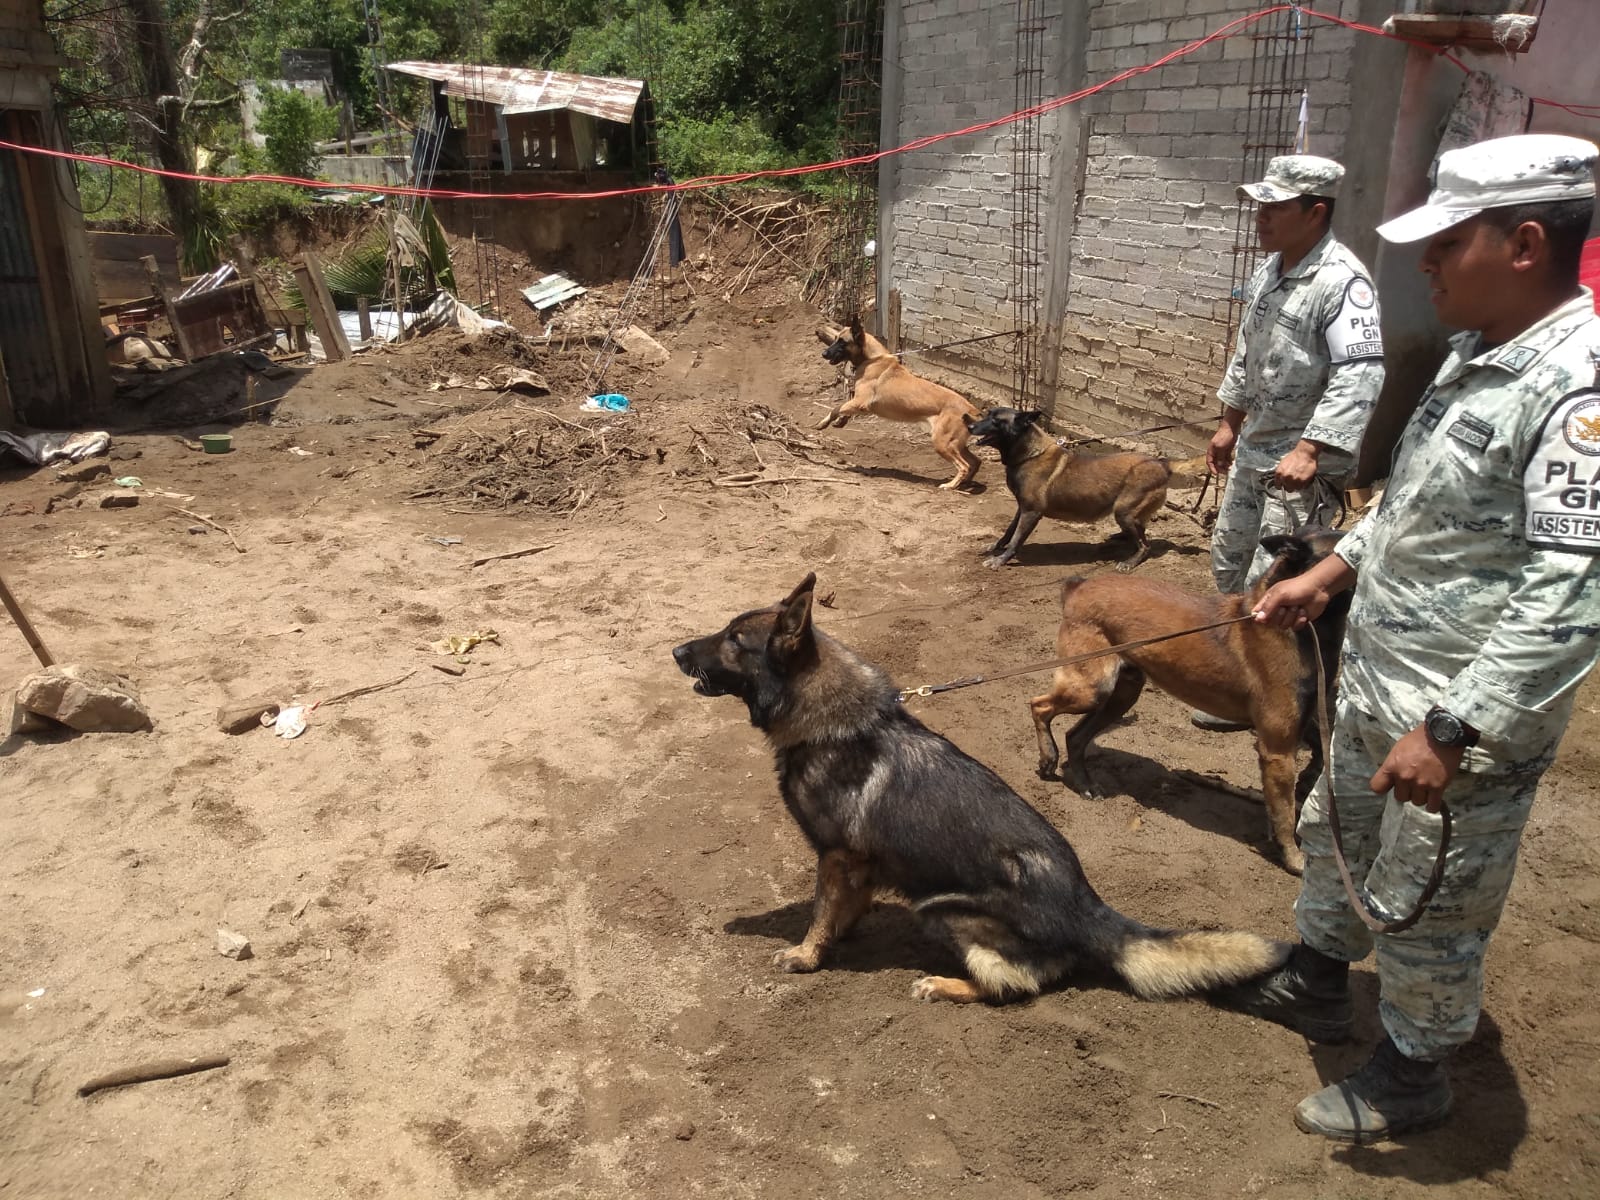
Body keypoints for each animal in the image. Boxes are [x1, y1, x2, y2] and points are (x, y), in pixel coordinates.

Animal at [675, 572, 1286, 1004]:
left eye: (734, 640)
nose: (676, 652)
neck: (832, 723)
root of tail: (1088, 909)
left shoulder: (837, 854)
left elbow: (821, 911)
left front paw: (806, 955)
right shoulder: (859, 862)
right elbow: (845, 907)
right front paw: (841, 936)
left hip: (941, 909)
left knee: (1016, 985)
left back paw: (944, 985)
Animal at [819, 320, 979, 492]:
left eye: (843, 342)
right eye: (835, 339)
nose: (824, 354)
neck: (872, 359)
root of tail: (971, 409)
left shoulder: (860, 401)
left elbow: (836, 409)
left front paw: (823, 423)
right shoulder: (858, 403)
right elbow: (843, 410)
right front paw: (840, 421)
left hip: (942, 443)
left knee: (964, 466)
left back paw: (951, 485)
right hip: (956, 444)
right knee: (975, 462)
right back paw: (966, 483)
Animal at [1030, 534, 1356, 876]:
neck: (1295, 627)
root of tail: (1079, 586)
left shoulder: (1299, 726)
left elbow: (1318, 752)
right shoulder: (1277, 750)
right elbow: (1284, 815)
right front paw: (1293, 858)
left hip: (1121, 695)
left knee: (1075, 736)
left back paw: (1085, 784)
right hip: (1092, 689)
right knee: (1039, 706)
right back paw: (1048, 757)